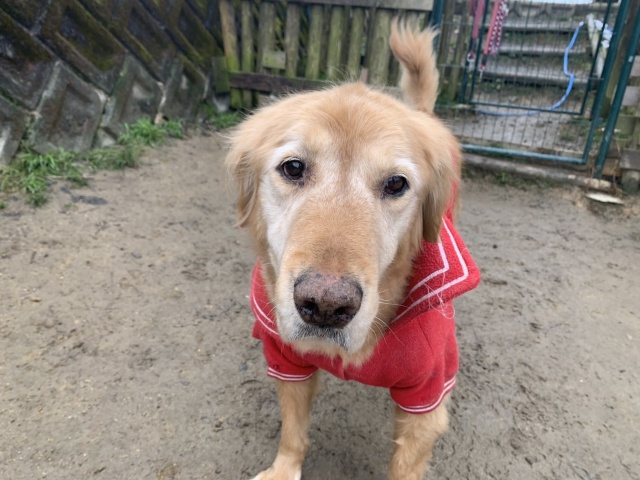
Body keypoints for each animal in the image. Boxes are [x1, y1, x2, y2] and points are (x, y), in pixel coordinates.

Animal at [226, 21, 480, 480]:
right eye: (293, 167)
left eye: (396, 183)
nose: (326, 306)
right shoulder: (286, 359)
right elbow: (293, 431)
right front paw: (284, 468)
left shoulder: (427, 398)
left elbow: (406, 465)